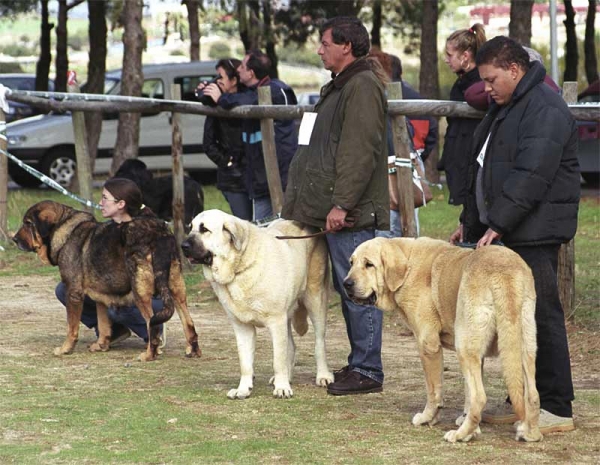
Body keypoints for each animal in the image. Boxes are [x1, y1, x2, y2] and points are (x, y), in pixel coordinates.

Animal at [12, 198, 202, 360]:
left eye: (28, 224)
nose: (14, 239)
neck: (63, 230)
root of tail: (159, 234)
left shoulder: (73, 292)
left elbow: (71, 327)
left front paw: (65, 349)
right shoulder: (100, 295)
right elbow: (103, 324)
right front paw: (101, 345)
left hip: (140, 292)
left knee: (152, 325)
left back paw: (149, 354)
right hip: (177, 290)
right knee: (189, 323)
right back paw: (193, 351)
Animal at [183, 208, 332, 396]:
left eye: (204, 229)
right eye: (191, 228)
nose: (183, 246)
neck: (240, 267)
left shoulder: (276, 321)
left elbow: (278, 359)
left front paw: (282, 388)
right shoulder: (243, 327)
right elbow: (245, 362)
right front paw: (243, 389)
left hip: (315, 299)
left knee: (319, 342)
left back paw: (323, 375)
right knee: (291, 346)